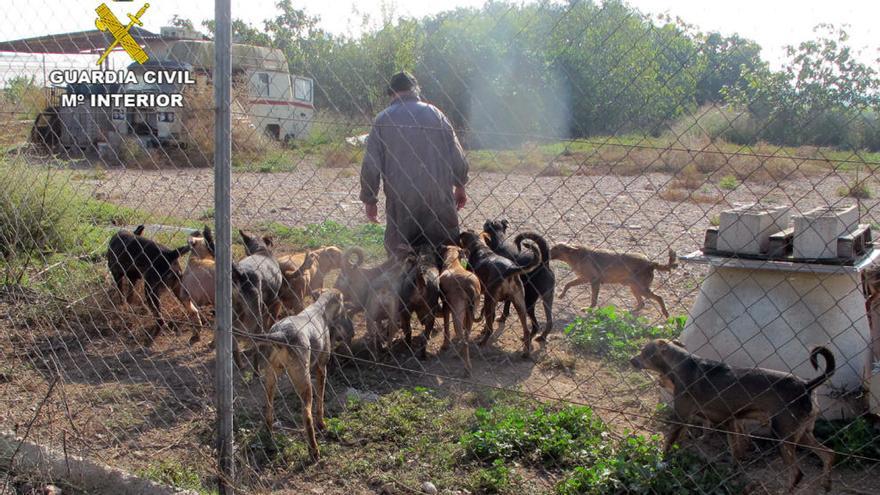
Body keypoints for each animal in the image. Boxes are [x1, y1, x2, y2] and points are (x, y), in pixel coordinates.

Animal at [438, 244, 482, 376]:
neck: (453, 262)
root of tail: (471, 285)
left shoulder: (446, 305)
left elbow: (446, 326)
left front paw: (445, 345)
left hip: (457, 311)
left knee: (464, 341)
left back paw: (466, 367)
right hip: (471, 311)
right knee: (466, 336)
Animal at [632, 340, 832, 494]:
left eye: (643, 352)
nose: (631, 359)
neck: (681, 364)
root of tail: (806, 385)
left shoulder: (681, 418)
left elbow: (668, 444)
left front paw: (660, 464)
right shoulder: (730, 421)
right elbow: (735, 450)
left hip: (783, 436)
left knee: (797, 473)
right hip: (803, 433)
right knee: (828, 454)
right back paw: (826, 484)